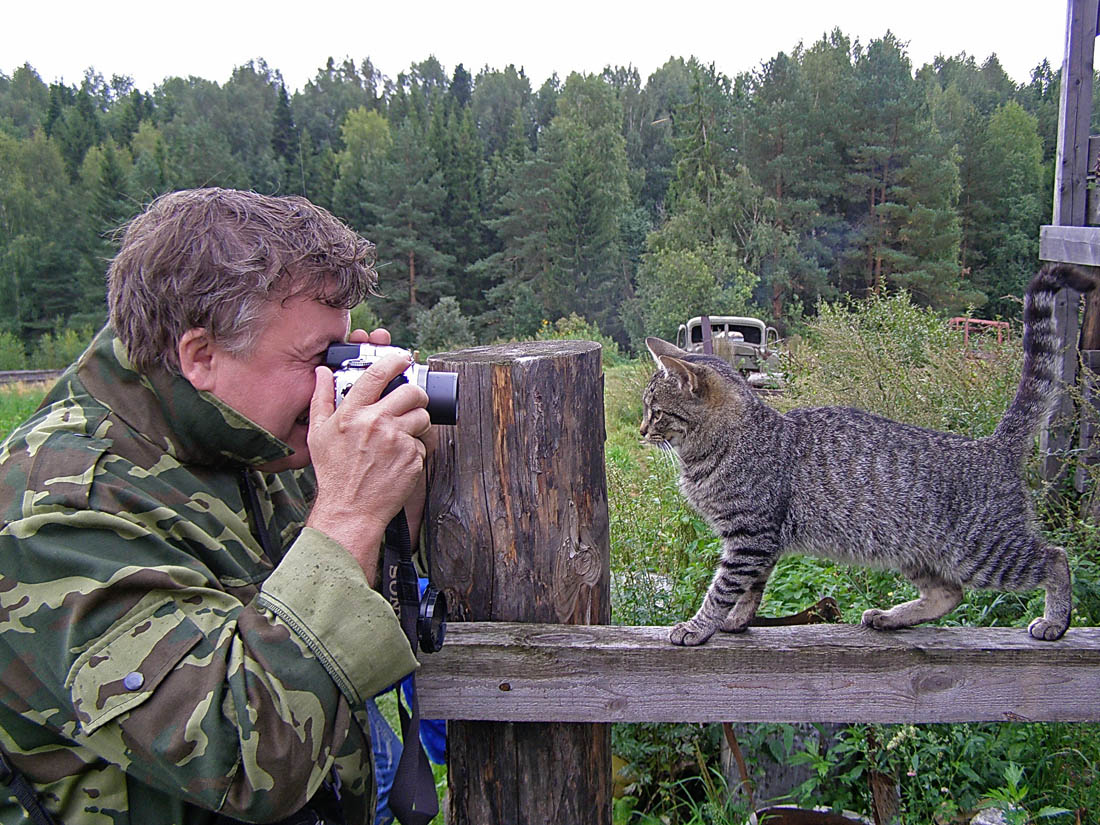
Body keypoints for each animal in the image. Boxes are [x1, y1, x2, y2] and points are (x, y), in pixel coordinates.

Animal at [642, 265, 1095, 646]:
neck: (716, 447)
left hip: (984, 549)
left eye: (656, 411)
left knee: (1055, 557)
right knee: (949, 594)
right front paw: (736, 621)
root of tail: (993, 445)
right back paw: (892, 617)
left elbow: (723, 589)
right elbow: (751, 590)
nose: (642, 430)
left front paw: (700, 626)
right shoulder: (761, 542)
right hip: (914, 551)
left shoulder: (751, 537)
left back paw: (1056, 619)